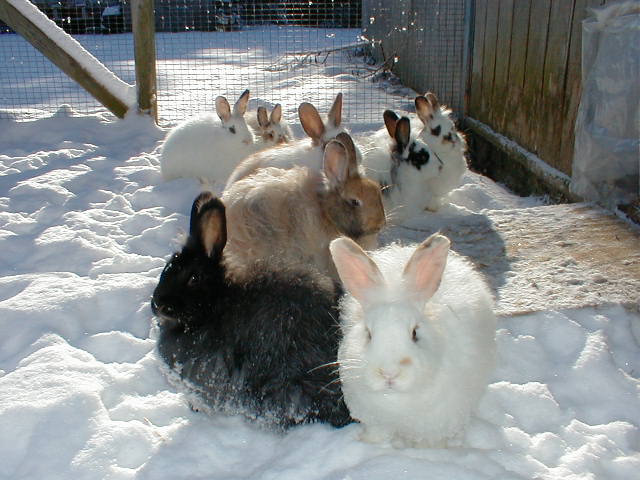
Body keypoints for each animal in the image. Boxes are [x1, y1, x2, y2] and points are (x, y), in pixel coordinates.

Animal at [328, 234, 498, 448]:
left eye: (415, 333)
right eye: (368, 334)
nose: (389, 373)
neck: (396, 401)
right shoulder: (376, 422)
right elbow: (377, 434)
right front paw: (370, 443)